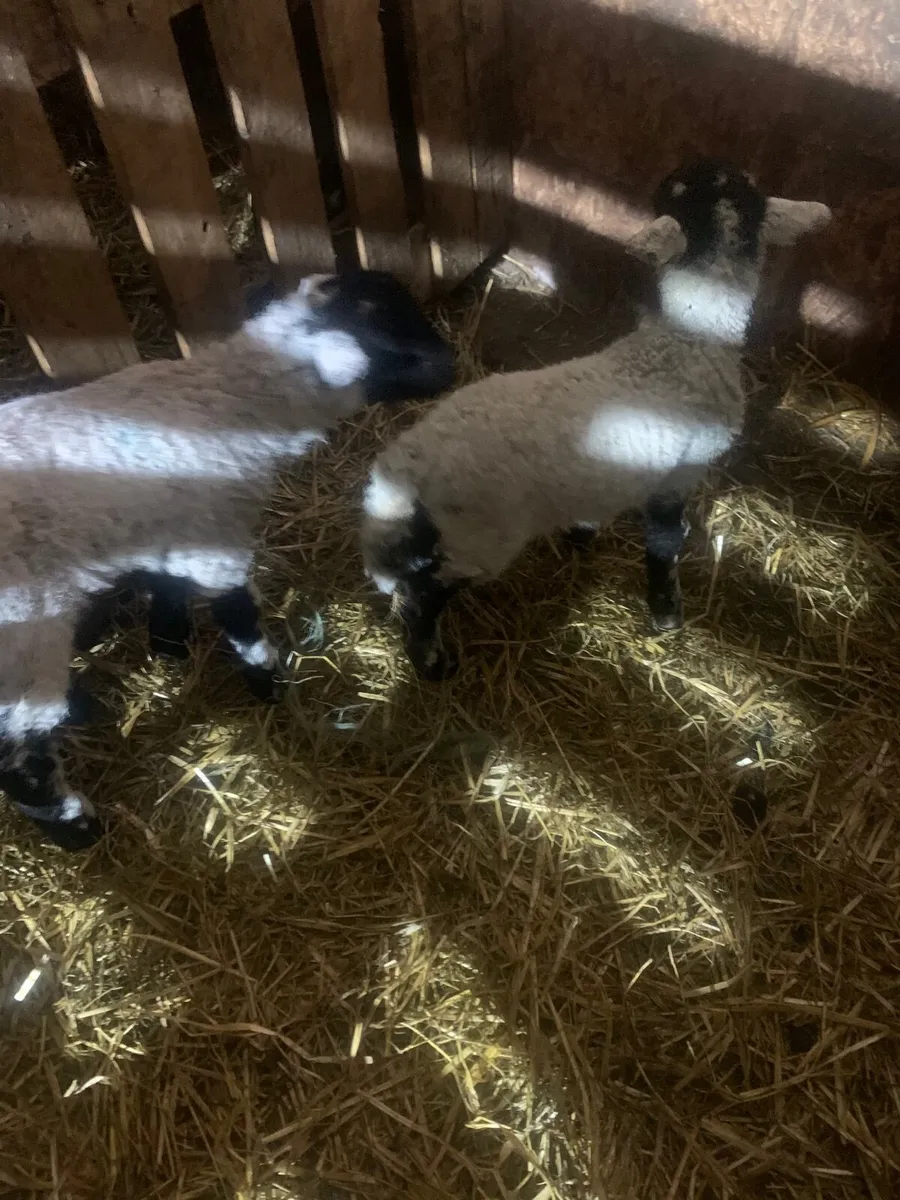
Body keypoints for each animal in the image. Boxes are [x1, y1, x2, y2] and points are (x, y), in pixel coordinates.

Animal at [0, 269, 455, 851]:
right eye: (401, 345)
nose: (455, 367)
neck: (237, 398)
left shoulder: (175, 528)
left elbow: (167, 587)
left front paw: (169, 644)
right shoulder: (217, 540)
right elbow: (239, 617)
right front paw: (268, 682)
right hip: (24, 642)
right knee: (21, 762)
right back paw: (76, 827)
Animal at [360, 160, 832, 681]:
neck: (686, 341)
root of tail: (404, 468)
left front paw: (582, 535)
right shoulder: (684, 468)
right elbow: (665, 540)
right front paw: (666, 613)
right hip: (481, 536)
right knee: (424, 593)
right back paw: (433, 663)